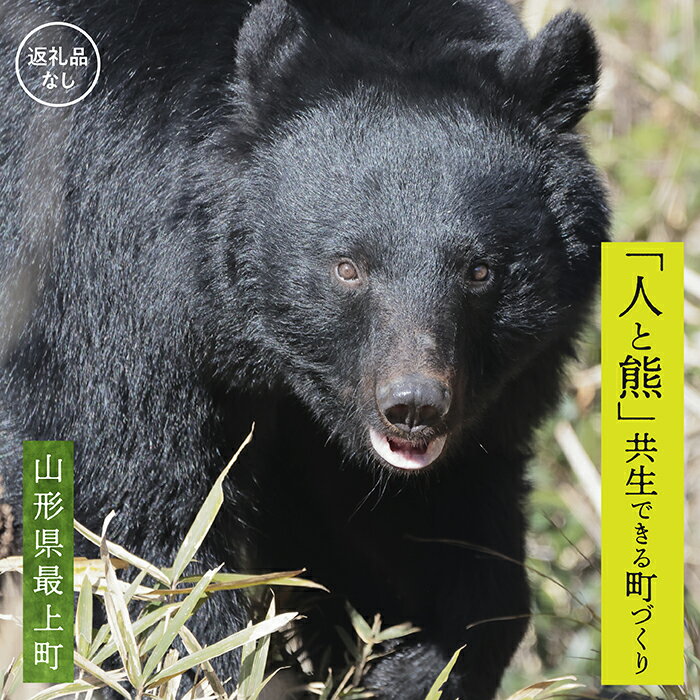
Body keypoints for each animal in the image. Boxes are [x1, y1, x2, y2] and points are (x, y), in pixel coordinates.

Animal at [0, 0, 609, 698]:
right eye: (348, 267)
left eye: (480, 271)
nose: (414, 408)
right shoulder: (97, 267)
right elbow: (136, 517)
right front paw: (210, 661)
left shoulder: (487, 394)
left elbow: (439, 519)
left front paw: (413, 663)